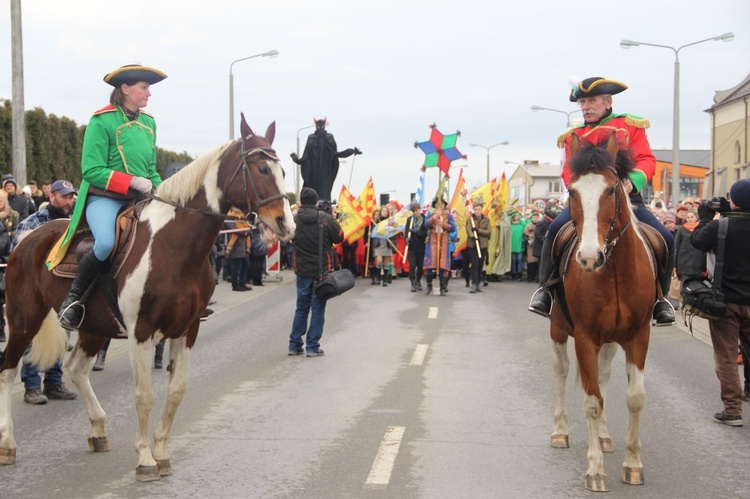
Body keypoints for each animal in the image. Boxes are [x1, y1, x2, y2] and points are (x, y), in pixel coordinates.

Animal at [0, 113, 296, 480]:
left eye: (282, 170)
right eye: (262, 168)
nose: (286, 224)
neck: (175, 245)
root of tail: (26, 239)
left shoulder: (187, 330)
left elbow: (176, 391)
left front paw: (162, 452)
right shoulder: (141, 332)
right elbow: (144, 395)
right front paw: (144, 458)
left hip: (93, 326)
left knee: (76, 368)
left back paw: (98, 429)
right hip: (23, 319)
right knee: (8, 370)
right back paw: (8, 443)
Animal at [552, 135, 656, 494]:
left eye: (612, 190)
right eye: (572, 191)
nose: (588, 257)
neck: (613, 270)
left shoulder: (639, 335)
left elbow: (635, 398)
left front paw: (633, 465)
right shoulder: (585, 337)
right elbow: (592, 402)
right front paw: (595, 470)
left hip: (612, 341)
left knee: (606, 376)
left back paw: (607, 436)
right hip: (558, 329)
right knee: (562, 371)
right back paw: (560, 431)